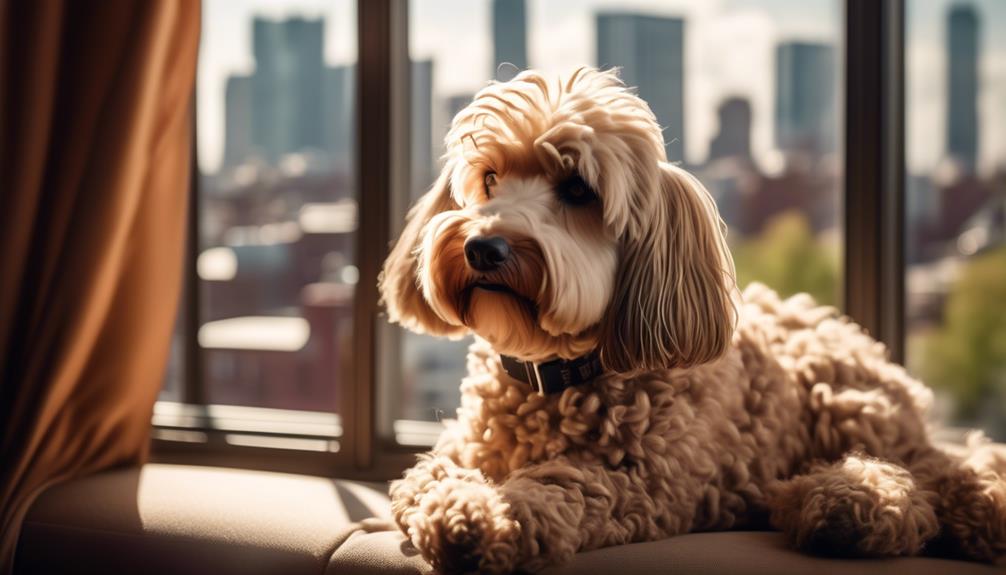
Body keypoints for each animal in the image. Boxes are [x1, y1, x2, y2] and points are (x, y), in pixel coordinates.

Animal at [378, 68, 1006, 575]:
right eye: (489, 179)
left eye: (578, 189)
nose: (483, 247)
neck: (551, 370)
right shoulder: (457, 450)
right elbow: (424, 480)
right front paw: (460, 507)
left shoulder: (641, 480)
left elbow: (564, 485)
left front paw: (491, 518)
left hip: (845, 402)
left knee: (926, 483)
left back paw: (863, 507)